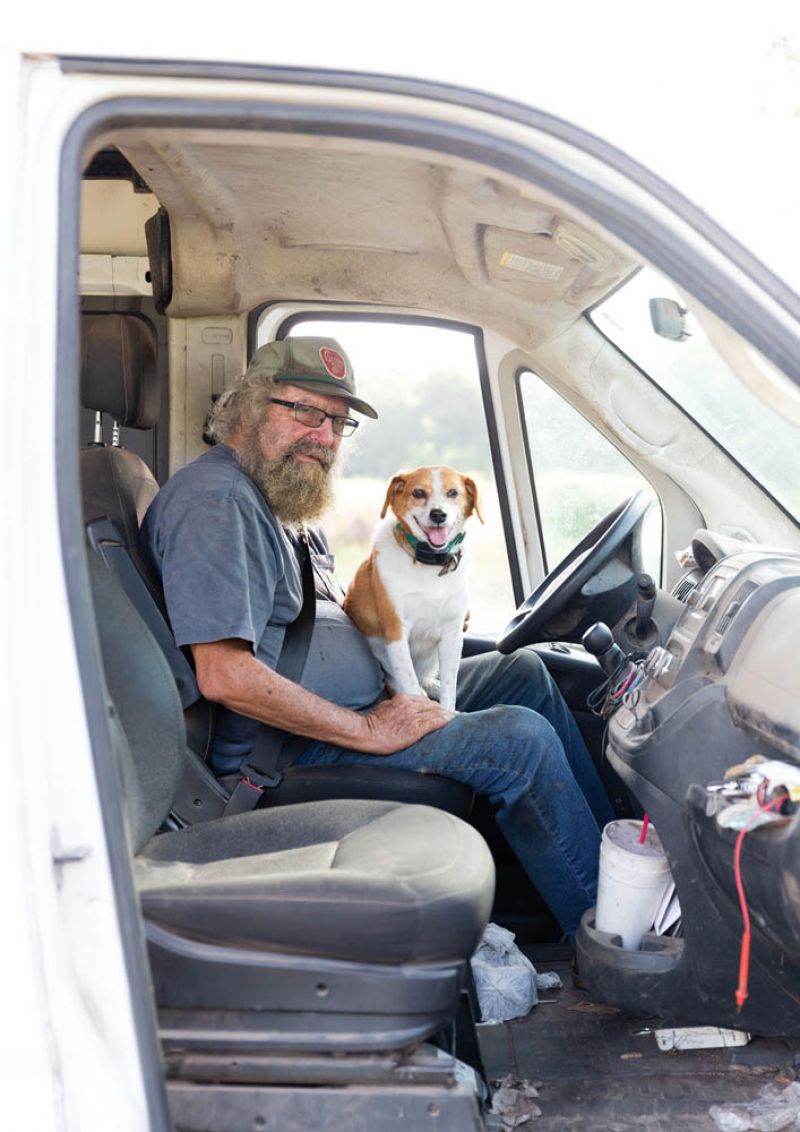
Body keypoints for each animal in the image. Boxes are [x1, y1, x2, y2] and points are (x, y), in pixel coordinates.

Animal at [341, 464, 482, 701]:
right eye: (418, 493)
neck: (430, 563)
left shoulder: (452, 635)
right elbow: (411, 685)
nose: (438, 514)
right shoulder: (396, 633)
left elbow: (449, 688)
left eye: (453, 493)